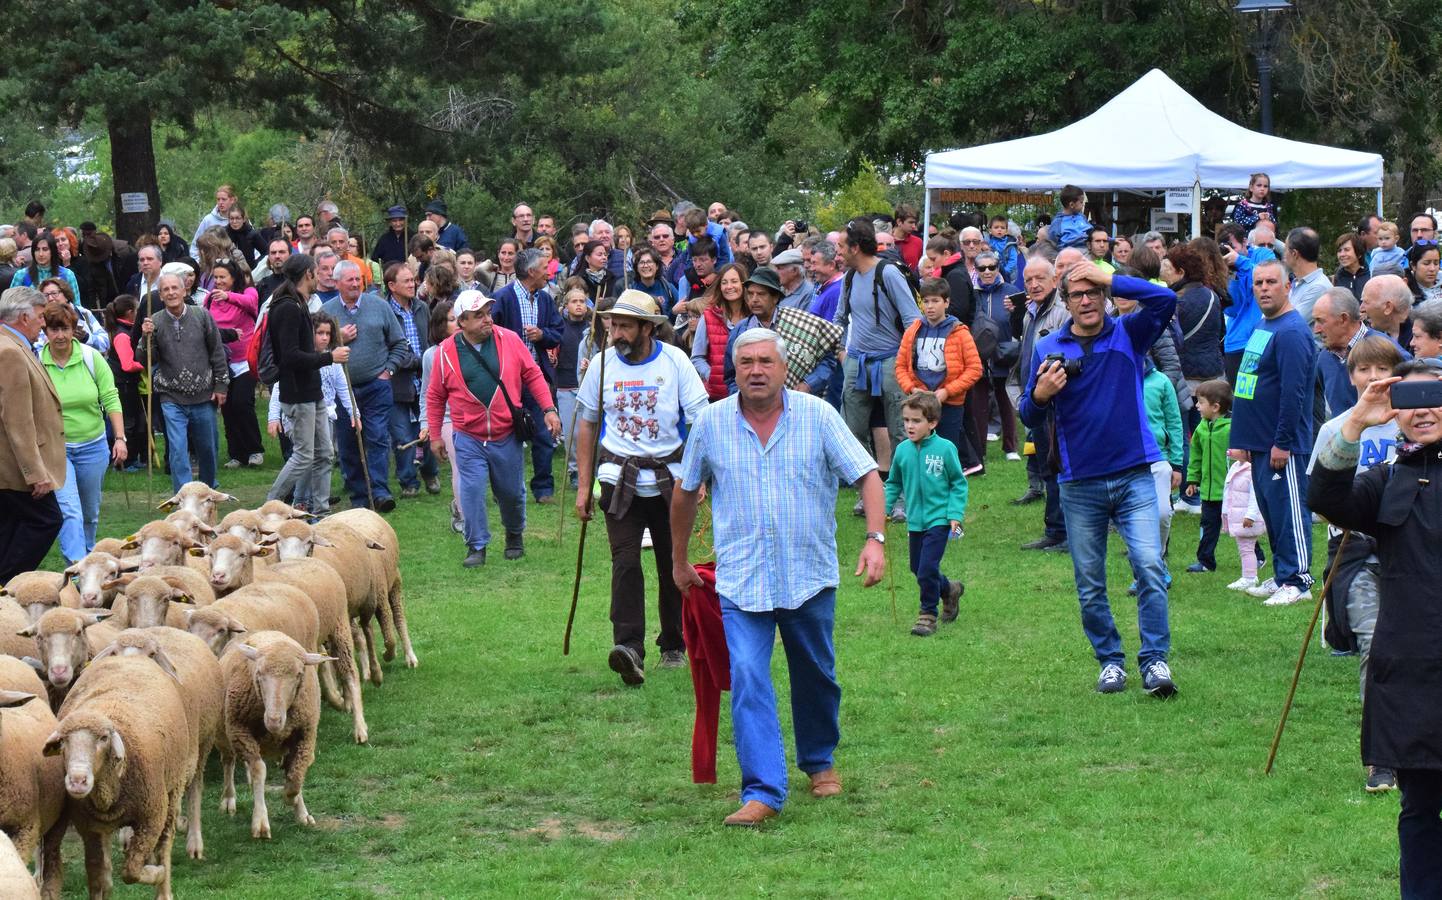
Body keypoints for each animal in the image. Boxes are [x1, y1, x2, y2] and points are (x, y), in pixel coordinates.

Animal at [43, 654, 194, 900]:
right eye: (63, 741)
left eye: (104, 738)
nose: (77, 781)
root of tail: (130, 655)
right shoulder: (90, 828)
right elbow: (97, 876)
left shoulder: (151, 818)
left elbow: (131, 871)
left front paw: (157, 873)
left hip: (172, 791)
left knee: (164, 844)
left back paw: (163, 887)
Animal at [93, 628, 223, 859]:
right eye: (114, 652)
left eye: (152, 654)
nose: (130, 672)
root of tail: (173, 629)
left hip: (203, 741)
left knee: (195, 787)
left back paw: (194, 841)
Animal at [194, 536, 366, 744]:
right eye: (210, 554)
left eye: (242, 554)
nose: (218, 576)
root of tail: (309, 560)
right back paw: (343, 701)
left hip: (339, 624)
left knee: (349, 671)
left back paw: (360, 727)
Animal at [217, 628, 330, 842]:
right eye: (259, 673)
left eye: (299, 674)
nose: (273, 720)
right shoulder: (240, 732)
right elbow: (259, 770)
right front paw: (260, 822)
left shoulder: (306, 735)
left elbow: (296, 775)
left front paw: (294, 802)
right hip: (224, 732)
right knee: (228, 762)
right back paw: (228, 799)